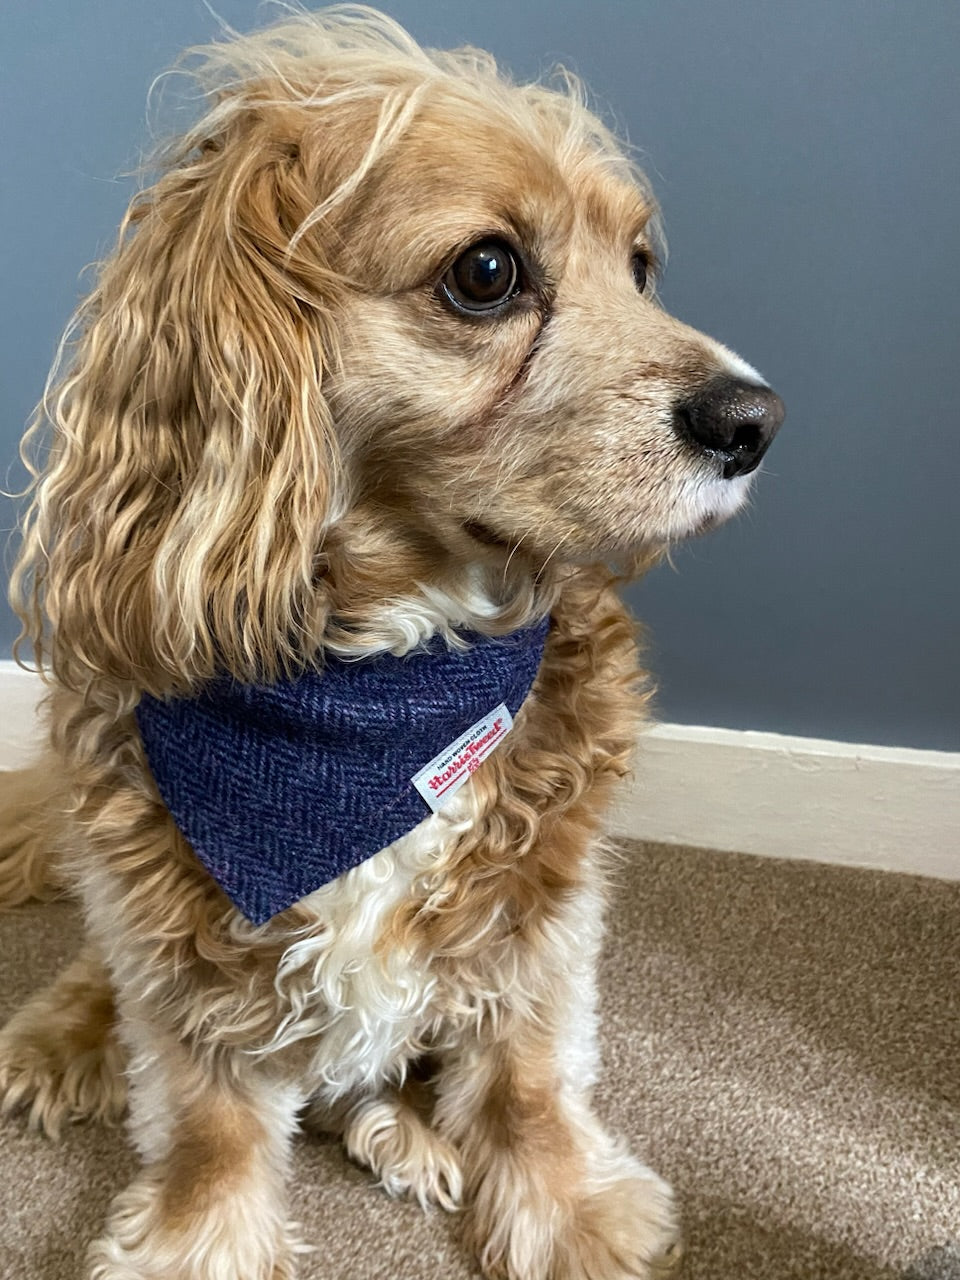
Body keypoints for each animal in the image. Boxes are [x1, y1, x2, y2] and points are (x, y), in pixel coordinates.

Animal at [0, 12, 783, 1280]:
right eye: (487, 271)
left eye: (640, 266)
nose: (756, 420)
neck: (388, 680)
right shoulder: (174, 921)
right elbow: (209, 1114)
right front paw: (197, 1240)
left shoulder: (542, 910)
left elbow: (525, 1072)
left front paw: (564, 1209)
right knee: (100, 975)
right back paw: (56, 1038)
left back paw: (401, 1131)